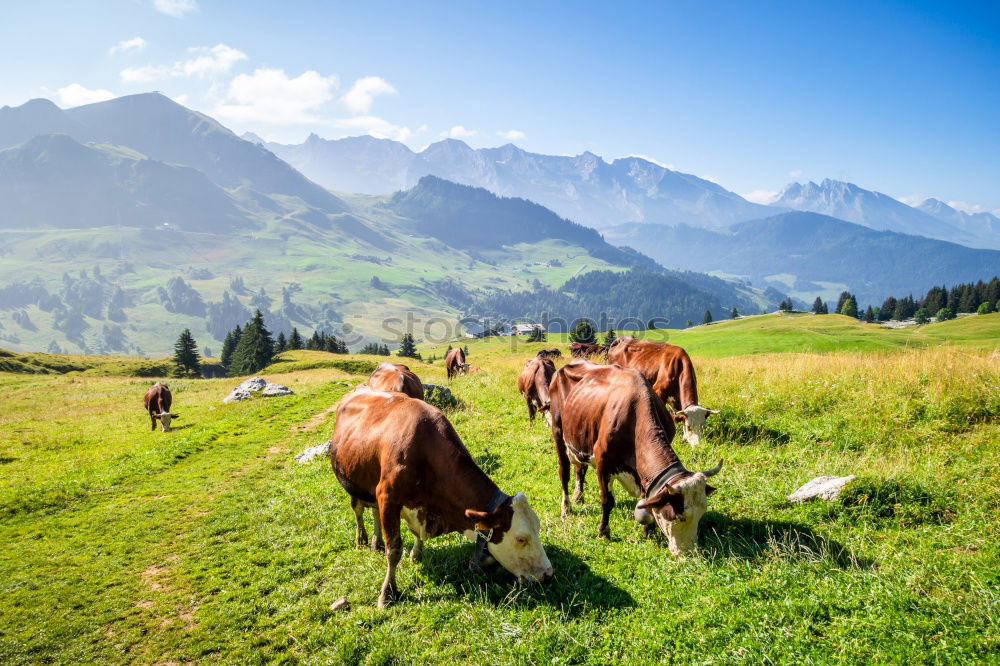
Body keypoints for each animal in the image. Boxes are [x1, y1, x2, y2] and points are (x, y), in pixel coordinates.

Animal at [330, 384, 556, 608]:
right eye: (521, 538)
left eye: (537, 528)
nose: (548, 574)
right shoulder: (388, 497)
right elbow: (393, 550)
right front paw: (388, 593)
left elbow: (416, 534)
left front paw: (416, 555)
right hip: (351, 482)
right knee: (358, 510)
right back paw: (362, 539)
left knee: (374, 511)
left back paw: (375, 542)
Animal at [548, 356, 720, 552]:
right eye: (679, 516)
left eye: (701, 513)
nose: (687, 552)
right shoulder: (603, 464)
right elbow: (607, 501)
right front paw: (603, 532)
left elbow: (648, 502)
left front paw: (648, 532)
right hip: (558, 433)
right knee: (564, 473)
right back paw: (566, 508)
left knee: (580, 468)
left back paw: (579, 496)